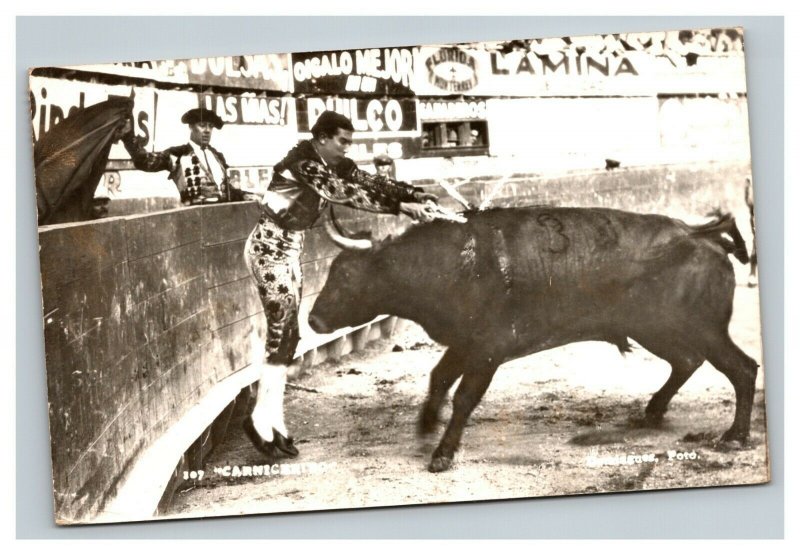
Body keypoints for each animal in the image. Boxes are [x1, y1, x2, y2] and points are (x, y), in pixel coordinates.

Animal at [306, 208, 756, 474]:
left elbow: (464, 397)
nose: (312, 318)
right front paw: (425, 425)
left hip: (699, 328)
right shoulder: (465, 344)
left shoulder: (487, 351)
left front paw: (443, 455)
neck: (453, 265)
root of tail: (700, 234)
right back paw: (651, 413)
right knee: (687, 361)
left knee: (742, 368)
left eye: (346, 274)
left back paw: (734, 436)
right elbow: (439, 378)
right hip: (658, 329)